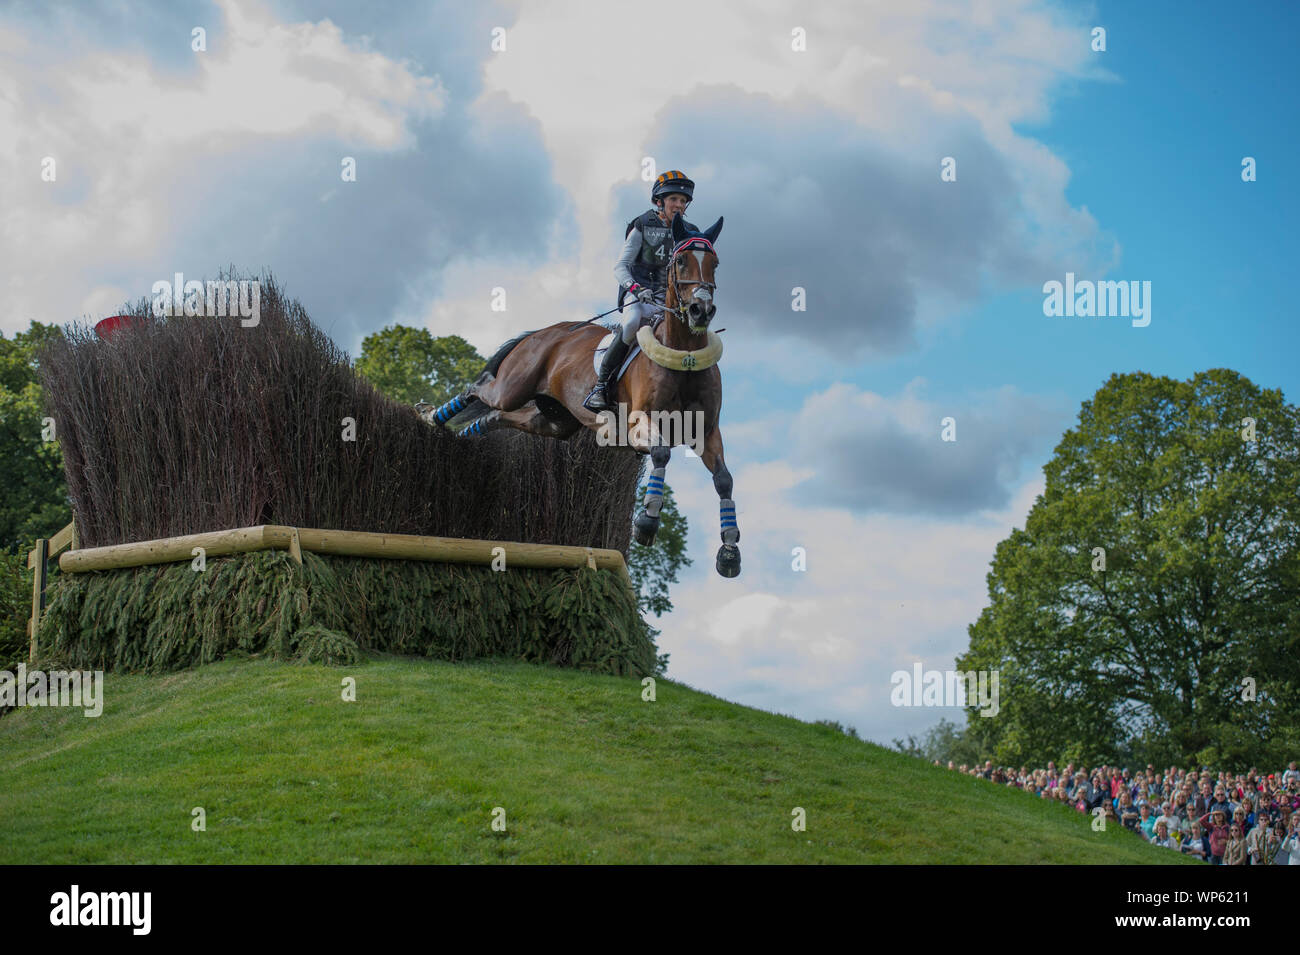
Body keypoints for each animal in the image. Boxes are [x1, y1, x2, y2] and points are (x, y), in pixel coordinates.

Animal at [418, 214, 743, 574]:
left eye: (715, 263)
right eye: (682, 260)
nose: (701, 310)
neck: (684, 356)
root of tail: (545, 332)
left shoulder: (706, 433)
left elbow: (724, 479)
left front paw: (730, 550)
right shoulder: (639, 425)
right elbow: (661, 454)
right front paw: (647, 523)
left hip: (555, 421)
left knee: (498, 415)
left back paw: (467, 433)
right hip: (513, 387)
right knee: (479, 389)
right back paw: (430, 417)